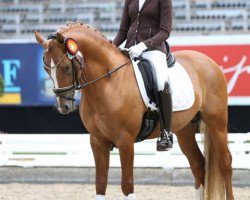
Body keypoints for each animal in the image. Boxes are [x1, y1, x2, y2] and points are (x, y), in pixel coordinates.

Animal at [35, 22, 234, 199]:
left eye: (66, 67)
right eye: (46, 68)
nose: (64, 106)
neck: (107, 83)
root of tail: (209, 61)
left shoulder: (125, 140)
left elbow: (127, 185)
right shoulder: (97, 141)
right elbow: (100, 184)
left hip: (216, 123)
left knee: (225, 163)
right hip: (184, 130)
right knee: (198, 165)